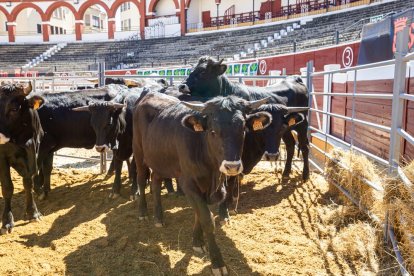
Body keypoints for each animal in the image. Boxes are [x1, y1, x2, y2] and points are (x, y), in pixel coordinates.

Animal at [0, 81, 44, 234]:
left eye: (14, 109)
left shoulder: (33, 151)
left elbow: (28, 183)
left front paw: (33, 212)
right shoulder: (2, 156)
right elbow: (7, 187)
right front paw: (7, 221)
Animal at [131, 92, 270, 274]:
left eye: (242, 130)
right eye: (213, 131)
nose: (232, 166)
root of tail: (149, 94)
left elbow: (199, 214)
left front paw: (197, 242)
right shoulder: (188, 184)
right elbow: (207, 219)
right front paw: (217, 262)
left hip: (160, 160)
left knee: (155, 181)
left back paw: (158, 217)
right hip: (139, 152)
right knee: (141, 180)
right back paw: (142, 212)